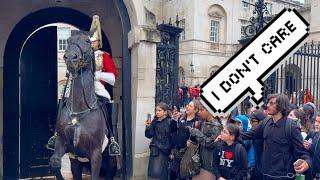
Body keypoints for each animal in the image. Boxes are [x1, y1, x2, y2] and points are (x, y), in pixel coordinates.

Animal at [51, 30, 117, 179]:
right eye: (68, 40)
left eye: (87, 41)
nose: (71, 58)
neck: (79, 110)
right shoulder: (64, 145)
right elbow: (55, 162)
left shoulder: (96, 154)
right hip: (78, 163)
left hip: (110, 163)